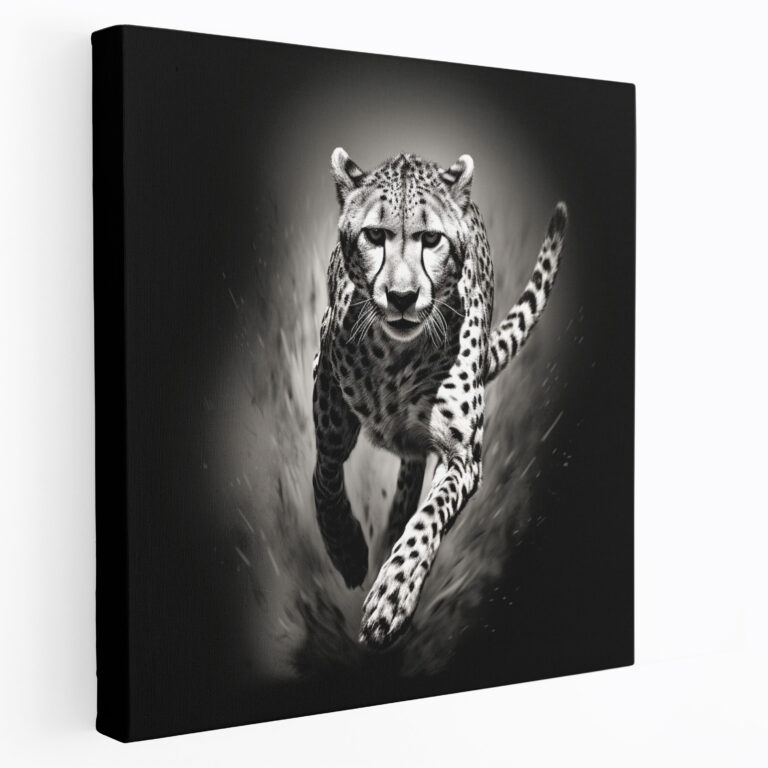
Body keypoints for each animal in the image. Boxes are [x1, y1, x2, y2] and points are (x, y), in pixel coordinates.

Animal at [312, 147, 567, 649]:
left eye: (431, 239)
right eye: (374, 235)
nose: (402, 297)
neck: (394, 353)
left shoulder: (463, 456)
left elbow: (430, 517)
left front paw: (393, 595)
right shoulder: (325, 381)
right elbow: (327, 471)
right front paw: (346, 548)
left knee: (413, 469)